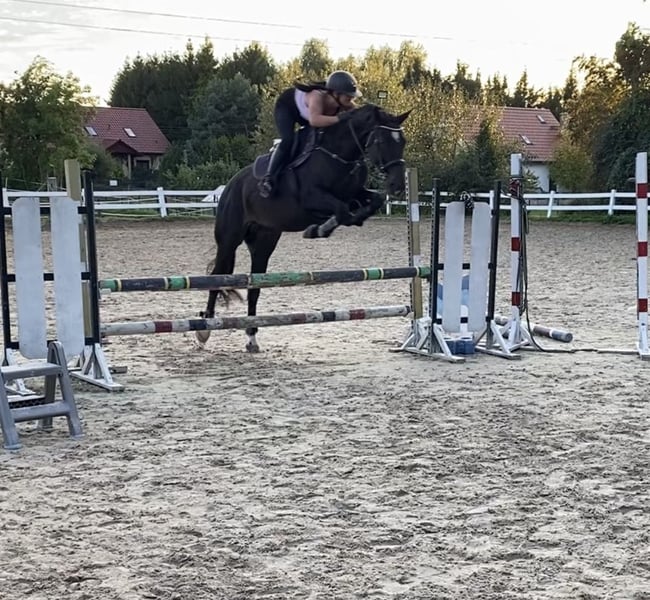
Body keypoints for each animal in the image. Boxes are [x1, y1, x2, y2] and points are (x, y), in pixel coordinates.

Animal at [196, 103, 411, 353]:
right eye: (380, 141)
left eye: (402, 142)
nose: (398, 186)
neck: (340, 155)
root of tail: (230, 185)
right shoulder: (312, 199)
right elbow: (342, 211)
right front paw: (319, 229)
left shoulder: (354, 194)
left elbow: (369, 202)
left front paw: (335, 224)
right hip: (229, 240)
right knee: (217, 278)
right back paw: (204, 331)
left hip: (263, 244)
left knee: (254, 288)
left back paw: (251, 338)